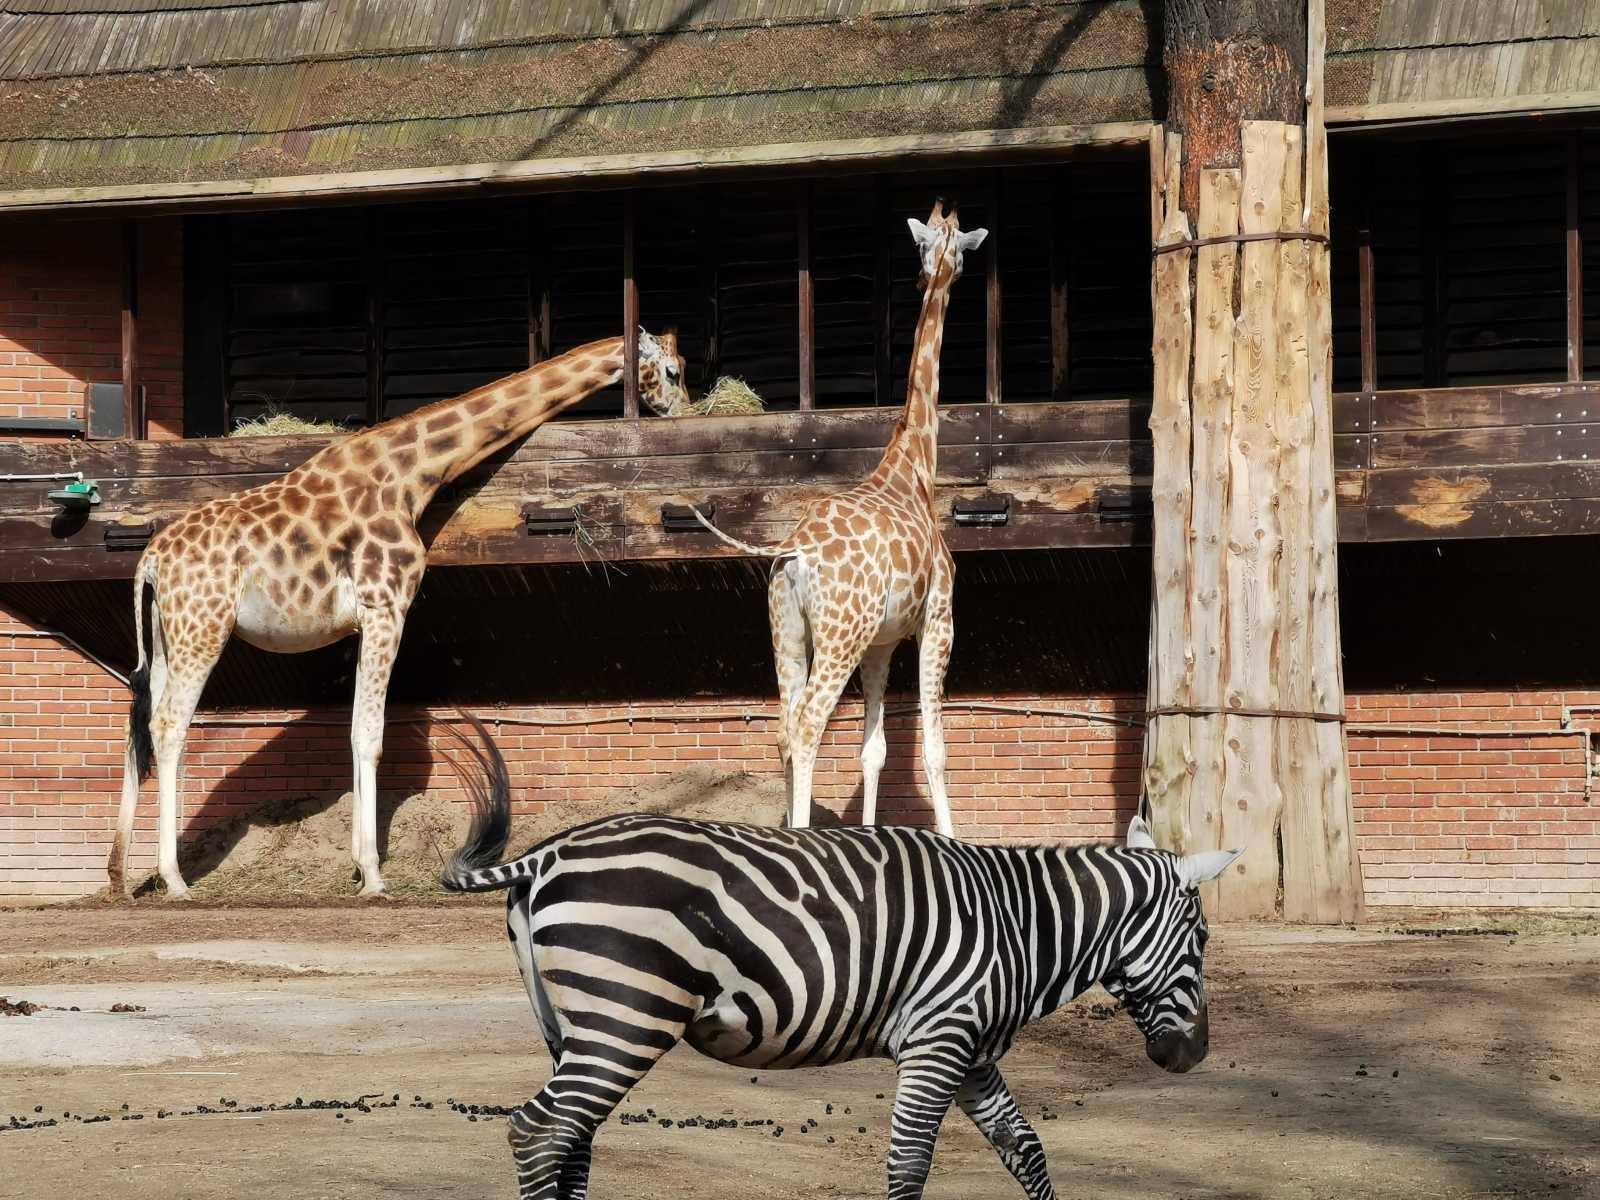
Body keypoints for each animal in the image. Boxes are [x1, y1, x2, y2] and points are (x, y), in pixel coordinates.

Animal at [111, 334, 688, 896]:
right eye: (674, 370)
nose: (683, 410)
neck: (409, 476)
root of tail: (151, 558)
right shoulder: (386, 605)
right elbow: (371, 734)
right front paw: (372, 874)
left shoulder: (367, 619)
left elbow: (354, 730)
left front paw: (357, 867)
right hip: (204, 627)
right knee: (169, 725)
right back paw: (174, 880)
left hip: (166, 636)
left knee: (141, 726)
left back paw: (120, 875)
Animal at [441, 720, 1248, 1196]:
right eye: (1203, 939)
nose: (1194, 1057)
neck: (1020, 922)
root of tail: (549, 852)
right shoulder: (938, 1041)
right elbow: (909, 1163)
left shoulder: (971, 1051)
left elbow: (1025, 1149)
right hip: (627, 1017)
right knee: (539, 1132)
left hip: (574, 1026)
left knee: (569, 1140)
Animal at [691, 200, 979, 838]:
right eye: (958, 249)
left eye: (928, 245)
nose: (930, 276)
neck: (914, 465)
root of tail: (797, 551)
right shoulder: (939, 620)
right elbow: (935, 750)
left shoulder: (881, 643)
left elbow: (874, 751)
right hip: (839, 635)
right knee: (807, 727)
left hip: (788, 631)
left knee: (783, 730)